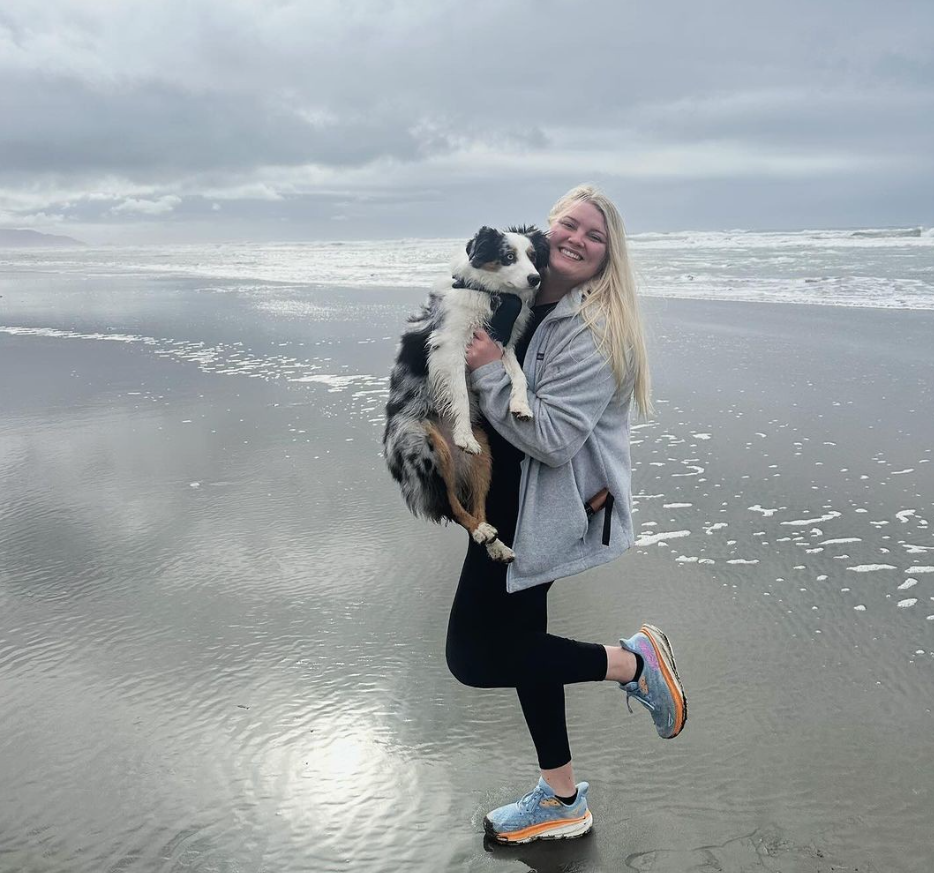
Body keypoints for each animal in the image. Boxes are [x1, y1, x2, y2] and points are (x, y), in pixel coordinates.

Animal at [384, 225, 552, 564]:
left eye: (532, 256)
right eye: (508, 256)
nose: (534, 279)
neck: (493, 296)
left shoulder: (501, 345)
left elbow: (518, 376)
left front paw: (521, 406)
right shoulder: (450, 345)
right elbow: (460, 393)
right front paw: (462, 434)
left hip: (485, 456)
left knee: (476, 504)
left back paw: (494, 541)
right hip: (425, 448)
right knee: (450, 503)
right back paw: (478, 528)